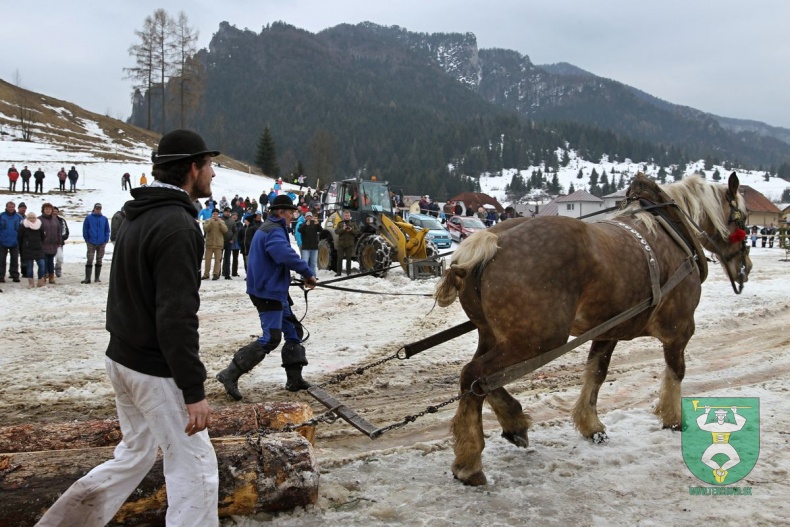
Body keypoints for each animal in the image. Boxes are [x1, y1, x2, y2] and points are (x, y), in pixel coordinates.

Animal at [436, 173, 752, 486]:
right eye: (742, 219)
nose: (745, 267)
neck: (671, 230)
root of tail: (491, 241)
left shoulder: (608, 330)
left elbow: (596, 373)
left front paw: (591, 425)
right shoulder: (680, 329)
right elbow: (676, 373)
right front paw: (673, 419)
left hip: (493, 334)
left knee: (479, 380)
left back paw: (512, 423)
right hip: (537, 340)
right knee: (475, 376)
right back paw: (470, 462)